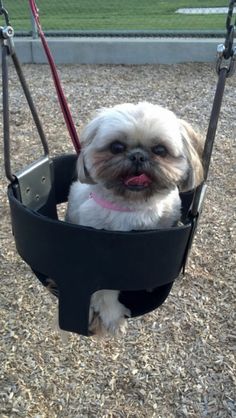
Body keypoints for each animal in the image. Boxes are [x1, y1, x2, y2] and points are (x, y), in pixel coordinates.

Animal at [65, 102, 204, 336]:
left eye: (160, 150)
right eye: (116, 147)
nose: (138, 156)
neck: (135, 207)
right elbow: (106, 293)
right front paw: (113, 317)